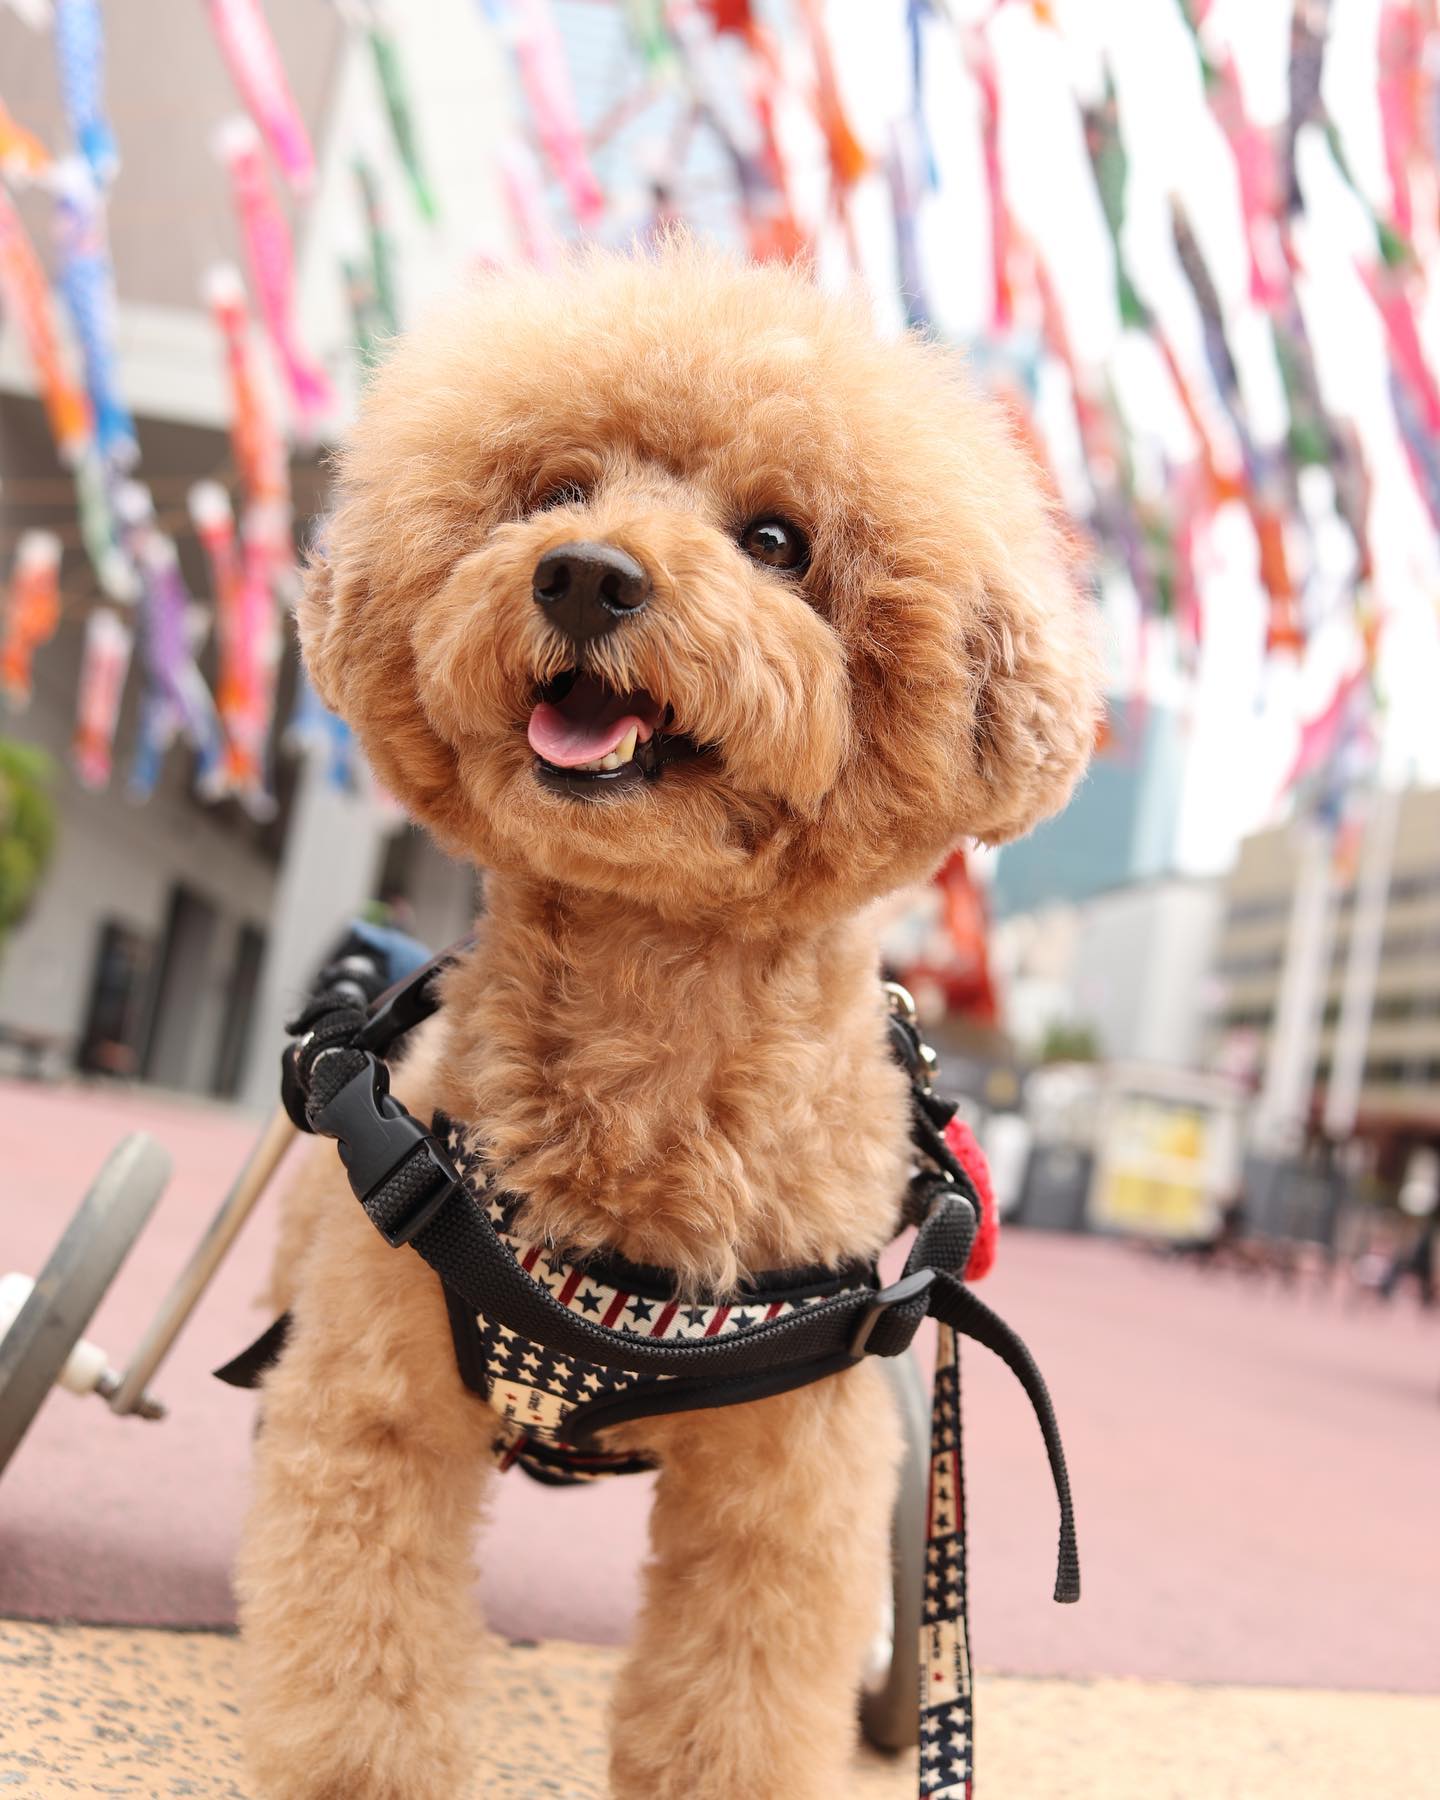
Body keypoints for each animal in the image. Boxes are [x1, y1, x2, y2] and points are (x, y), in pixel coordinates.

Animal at [235, 237, 1101, 1800]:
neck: (650, 1019)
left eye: (777, 540)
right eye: (552, 493)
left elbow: (740, 1693)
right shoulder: (376, 1399)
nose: (585, 571)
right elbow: (358, 1654)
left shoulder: (788, 1480)